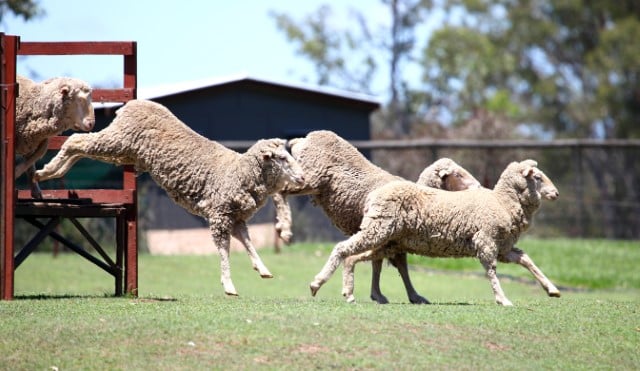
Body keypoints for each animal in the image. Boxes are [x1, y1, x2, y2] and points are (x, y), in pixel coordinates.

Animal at [34, 99, 304, 296]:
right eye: (281, 158)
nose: (302, 177)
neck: (240, 172)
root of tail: (131, 104)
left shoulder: (235, 218)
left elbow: (248, 243)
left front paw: (263, 269)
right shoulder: (219, 215)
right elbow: (224, 251)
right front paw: (229, 285)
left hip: (124, 151)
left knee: (79, 147)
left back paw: (52, 172)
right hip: (117, 141)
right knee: (76, 140)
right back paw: (44, 172)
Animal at [270, 129, 480, 304]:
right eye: (458, 175)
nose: (478, 186)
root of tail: (304, 138)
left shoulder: (391, 240)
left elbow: (384, 265)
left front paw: (383, 295)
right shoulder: (387, 236)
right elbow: (395, 265)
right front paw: (408, 295)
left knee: (280, 192)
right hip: (310, 177)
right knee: (279, 192)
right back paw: (285, 230)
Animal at [312, 158, 564, 306]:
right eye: (538, 177)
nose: (556, 193)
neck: (502, 202)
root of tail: (374, 195)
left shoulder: (503, 247)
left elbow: (527, 260)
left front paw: (552, 289)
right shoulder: (486, 242)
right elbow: (492, 272)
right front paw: (503, 299)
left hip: (389, 240)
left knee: (355, 256)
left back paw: (350, 290)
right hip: (379, 230)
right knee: (342, 248)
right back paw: (319, 283)